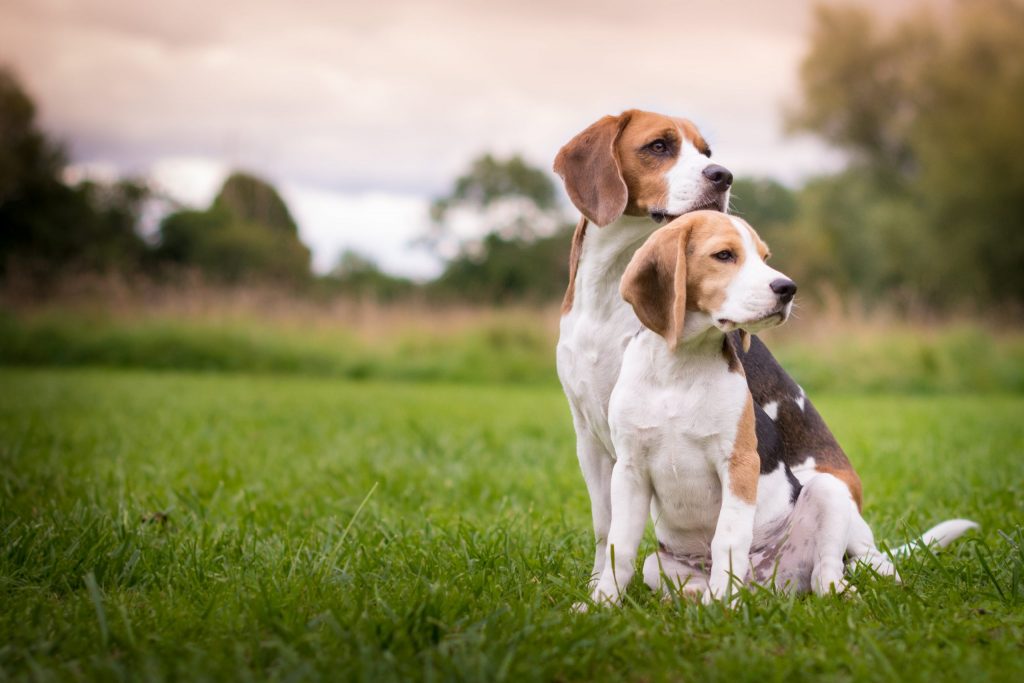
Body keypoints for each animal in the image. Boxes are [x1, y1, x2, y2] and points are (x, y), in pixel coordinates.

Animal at [593, 211, 897, 602]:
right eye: (724, 255)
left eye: (765, 258)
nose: (788, 288)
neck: (679, 369)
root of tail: (766, 585)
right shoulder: (630, 470)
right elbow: (620, 548)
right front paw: (601, 602)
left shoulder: (738, 464)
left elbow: (728, 539)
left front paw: (721, 604)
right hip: (657, 564)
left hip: (827, 491)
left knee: (825, 573)